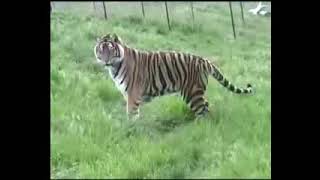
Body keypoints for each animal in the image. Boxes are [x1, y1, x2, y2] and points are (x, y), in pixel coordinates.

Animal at [94, 34, 254, 121]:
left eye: (110, 50)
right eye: (101, 50)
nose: (105, 60)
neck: (114, 67)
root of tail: (204, 60)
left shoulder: (132, 95)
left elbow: (131, 114)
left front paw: (131, 130)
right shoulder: (128, 95)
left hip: (191, 92)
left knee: (203, 111)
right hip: (196, 92)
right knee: (207, 107)